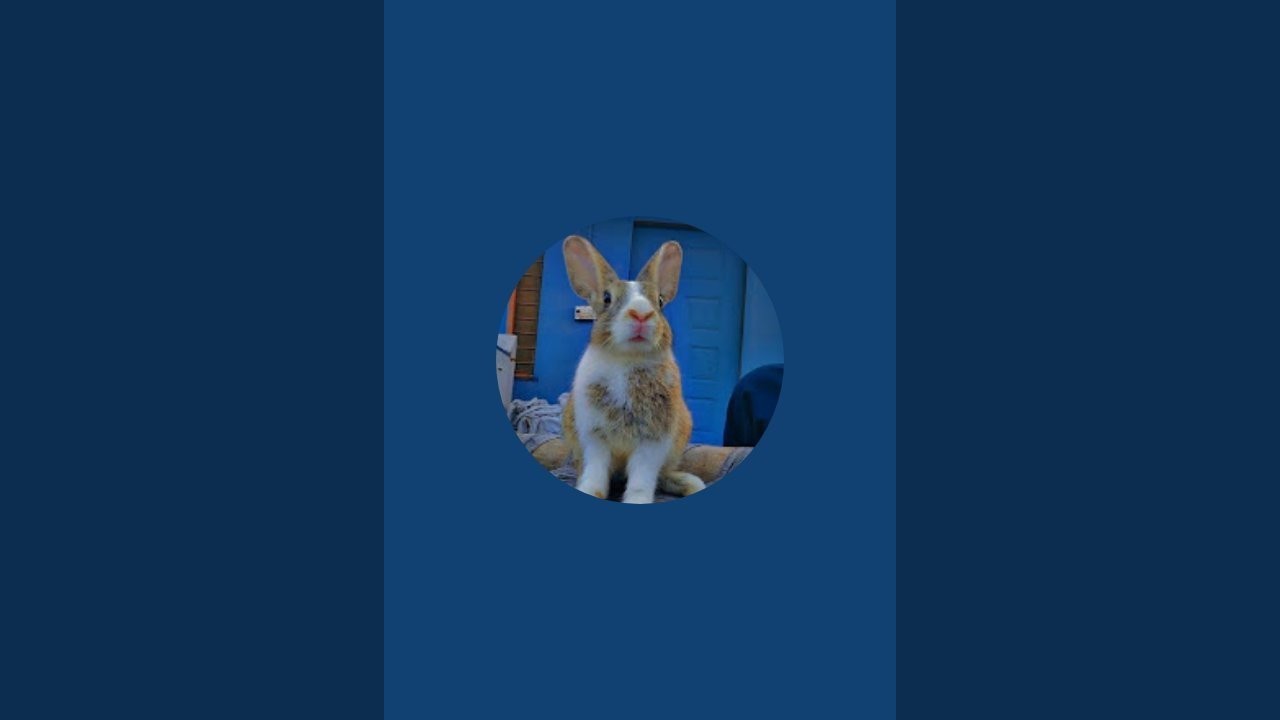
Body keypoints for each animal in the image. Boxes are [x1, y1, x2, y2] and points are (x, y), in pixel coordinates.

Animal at [559, 235, 707, 504]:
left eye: (660, 301)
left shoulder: (653, 441)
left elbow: (642, 478)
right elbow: (596, 473)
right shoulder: (595, 437)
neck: (628, 359)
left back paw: (690, 483)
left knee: (663, 475)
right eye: (607, 299)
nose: (641, 314)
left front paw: (637, 500)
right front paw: (588, 491)